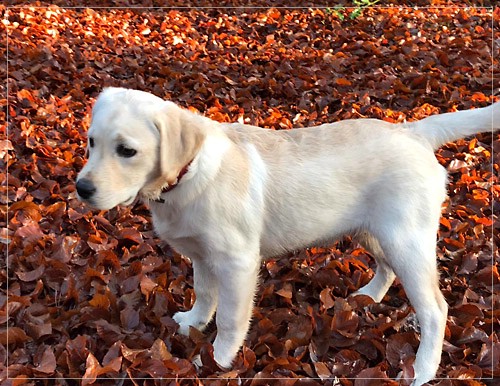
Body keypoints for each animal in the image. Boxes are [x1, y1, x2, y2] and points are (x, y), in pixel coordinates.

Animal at [76, 87, 498, 386]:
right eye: (91, 142)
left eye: (127, 151)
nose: (81, 188)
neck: (187, 175)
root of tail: (411, 130)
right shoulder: (202, 255)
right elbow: (205, 294)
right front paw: (193, 322)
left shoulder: (237, 262)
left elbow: (229, 318)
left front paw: (216, 360)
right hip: (374, 231)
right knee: (386, 269)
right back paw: (365, 298)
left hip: (406, 239)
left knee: (435, 309)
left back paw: (422, 371)